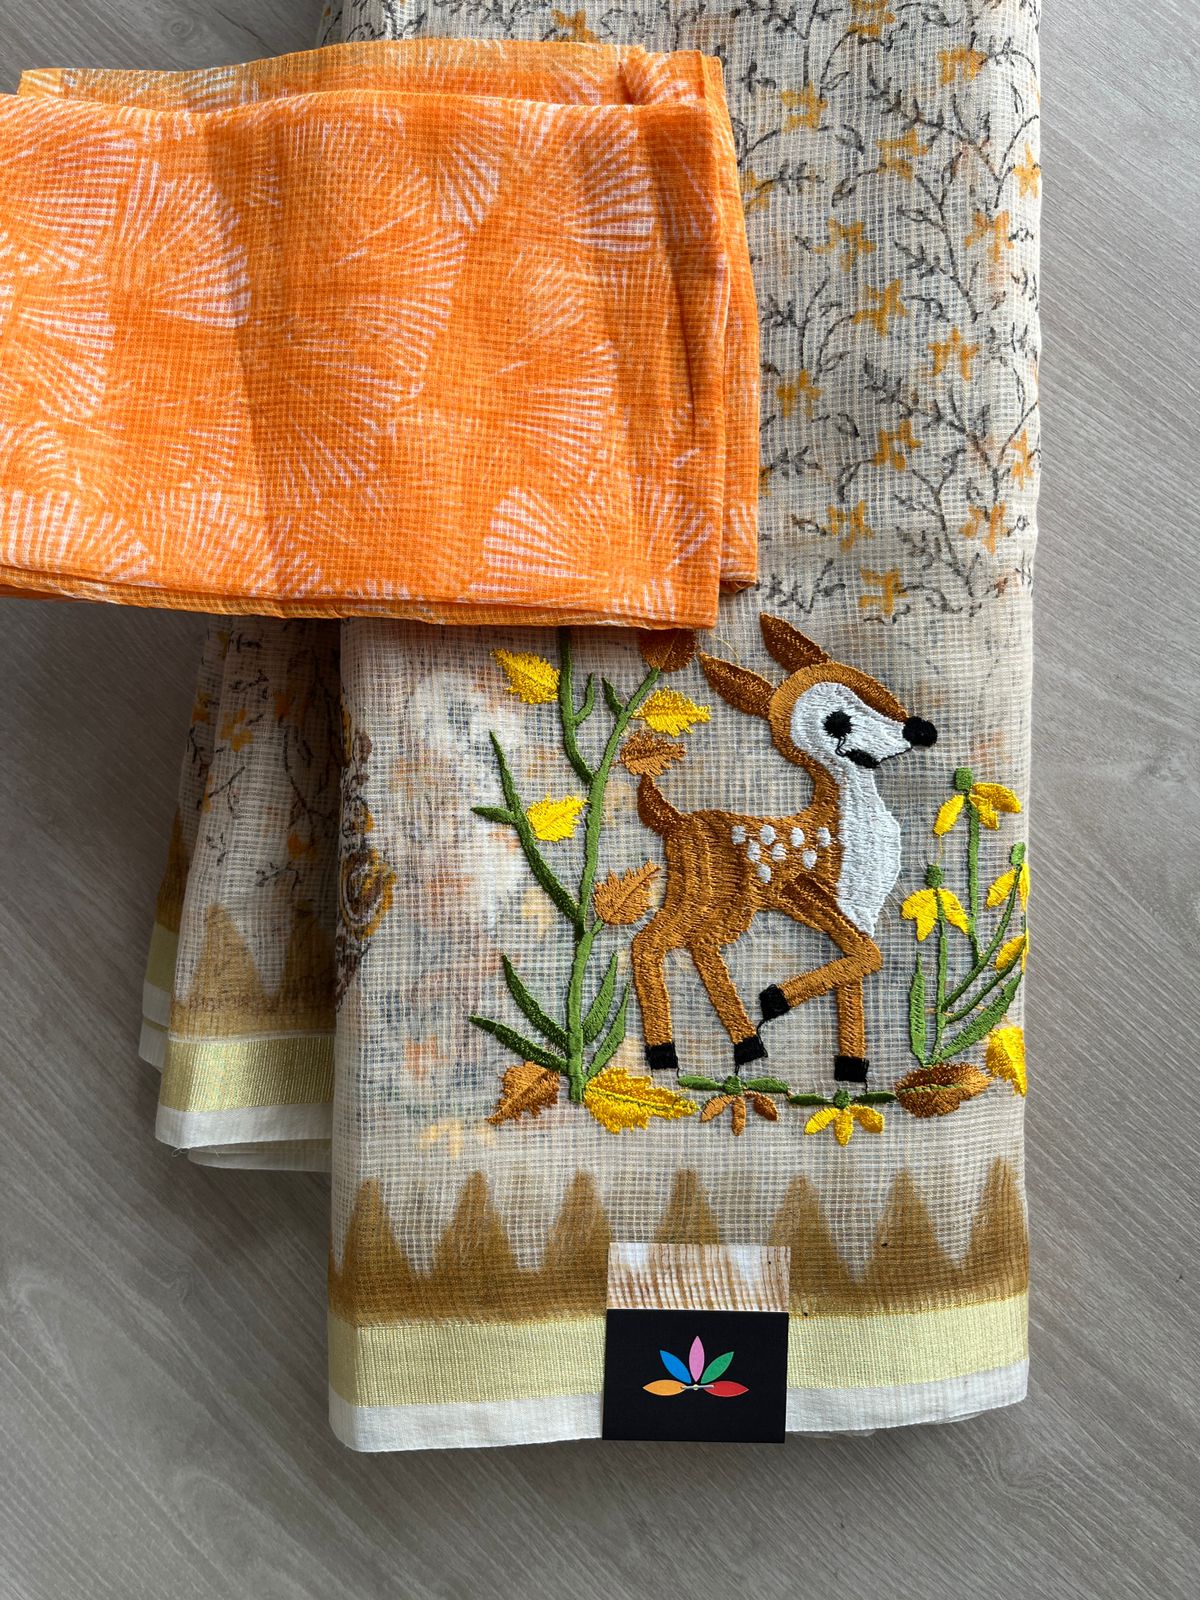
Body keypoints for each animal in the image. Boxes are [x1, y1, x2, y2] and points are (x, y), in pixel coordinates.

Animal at [631, 614, 936, 1085]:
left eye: (882, 697)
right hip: (718, 900)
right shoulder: (810, 891)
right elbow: (869, 955)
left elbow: (858, 967)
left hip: (696, 899)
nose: (921, 729)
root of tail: (677, 821)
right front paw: (774, 999)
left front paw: (850, 1068)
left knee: (673, 943)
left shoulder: (860, 910)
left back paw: (714, 1047)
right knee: (672, 943)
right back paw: (714, 1046)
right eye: (837, 721)